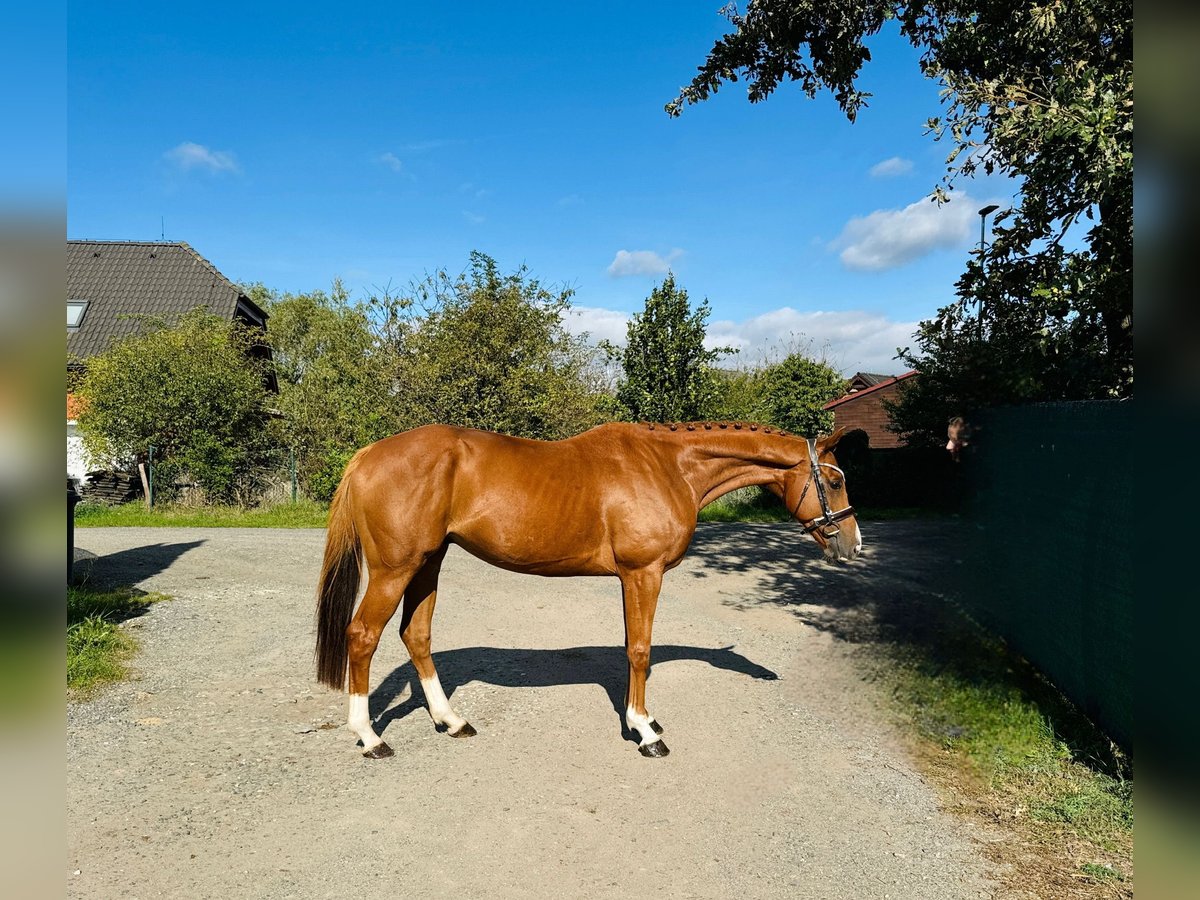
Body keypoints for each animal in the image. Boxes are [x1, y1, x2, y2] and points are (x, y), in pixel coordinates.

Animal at [316, 420, 864, 758]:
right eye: (836, 482)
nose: (854, 545)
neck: (669, 466)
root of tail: (367, 455)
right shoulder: (643, 573)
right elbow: (640, 649)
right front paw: (645, 732)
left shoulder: (633, 577)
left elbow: (630, 647)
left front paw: (643, 720)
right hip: (395, 569)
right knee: (362, 636)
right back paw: (370, 737)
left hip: (428, 564)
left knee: (417, 635)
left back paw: (451, 720)